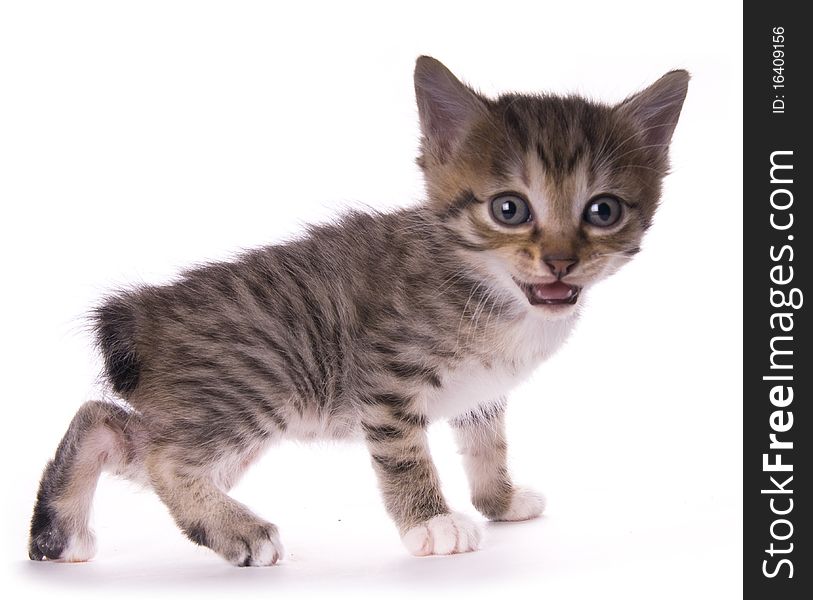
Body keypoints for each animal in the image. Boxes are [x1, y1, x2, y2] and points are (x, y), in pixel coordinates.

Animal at [27, 57, 684, 568]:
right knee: (164, 458)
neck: (490, 291)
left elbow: (487, 442)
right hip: (256, 389)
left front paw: (499, 500)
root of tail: (144, 310)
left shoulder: (481, 391)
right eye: (509, 209)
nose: (559, 262)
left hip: (208, 413)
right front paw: (432, 523)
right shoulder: (388, 381)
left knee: (104, 423)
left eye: (603, 211)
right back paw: (241, 531)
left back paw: (57, 531)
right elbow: (406, 456)